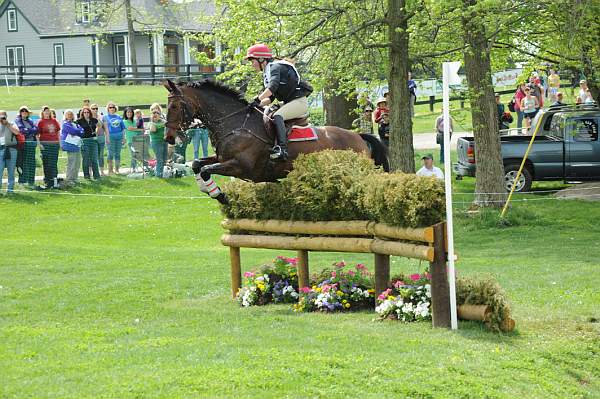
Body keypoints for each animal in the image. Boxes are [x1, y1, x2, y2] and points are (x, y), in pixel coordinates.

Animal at [164, 77, 390, 205]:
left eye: (174, 106)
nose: (168, 137)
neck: (235, 123)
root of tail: (358, 136)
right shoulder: (221, 157)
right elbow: (197, 164)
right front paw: (207, 189)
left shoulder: (241, 166)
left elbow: (204, 169)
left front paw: (221, 196)